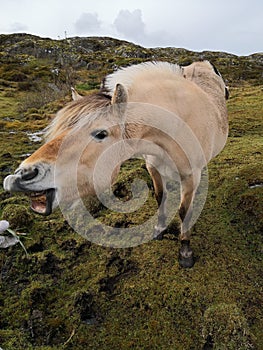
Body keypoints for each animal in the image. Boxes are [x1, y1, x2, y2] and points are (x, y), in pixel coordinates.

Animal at [3, 60, 229, 268]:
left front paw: (185, 252)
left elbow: (184, 211)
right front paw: (159, 230)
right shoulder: (153, 168)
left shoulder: (190, 175)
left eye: (101, 134)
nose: (23, 174)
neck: (174, 126)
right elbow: (160, 197)